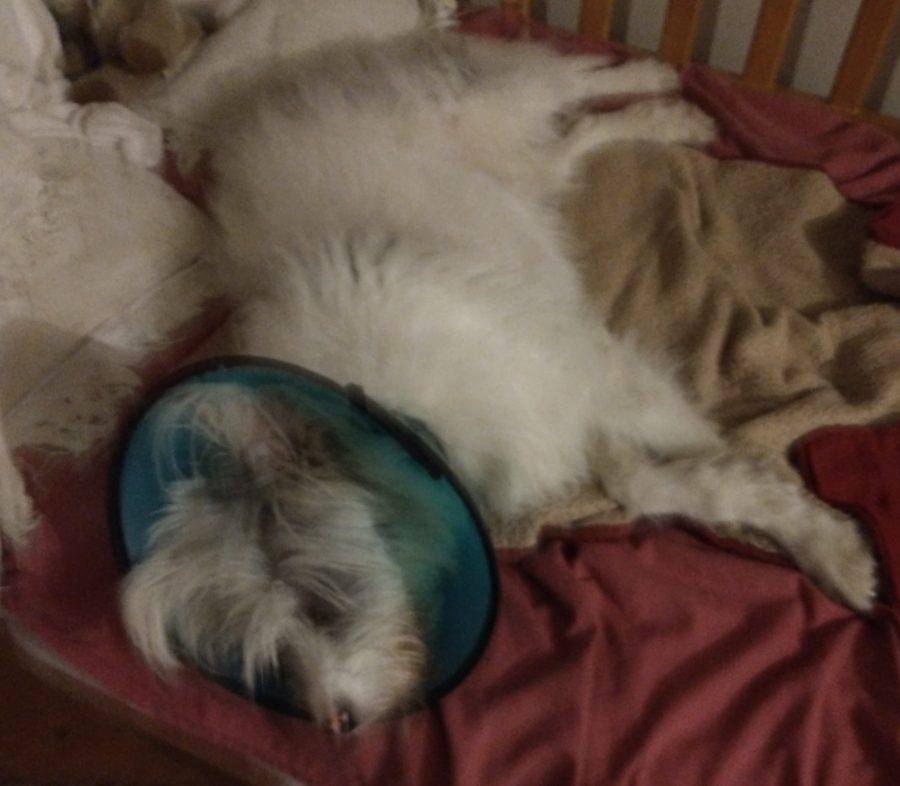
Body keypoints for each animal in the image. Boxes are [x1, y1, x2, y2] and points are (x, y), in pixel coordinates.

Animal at [121, 0, 878, 734]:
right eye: (275, 658)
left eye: (317, 604)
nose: (335, 725)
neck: (394, 412)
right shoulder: (561, 409)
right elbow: (654, 485)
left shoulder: (594, 378)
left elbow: (708, 462)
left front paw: (816, 536)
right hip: (528, 175)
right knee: (578, 136)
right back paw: (664, 116)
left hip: (492, 98)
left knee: (571, 78)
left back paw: (659, 85)